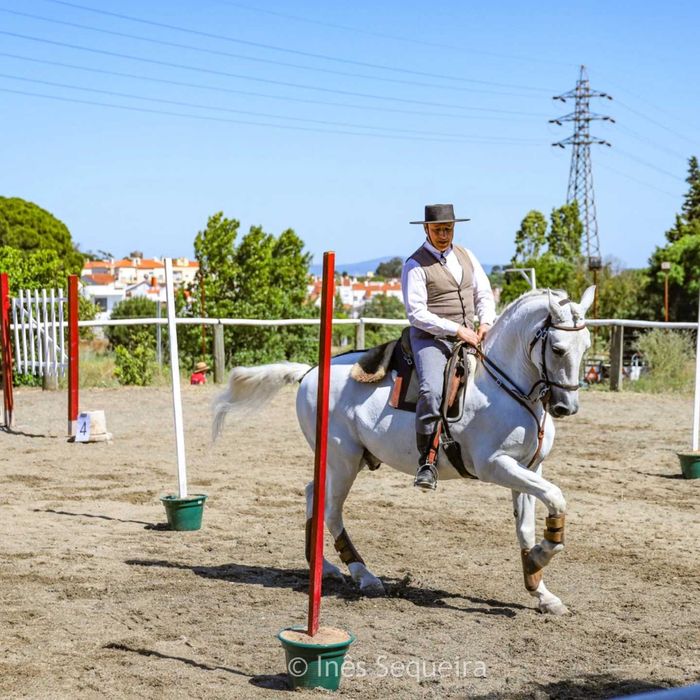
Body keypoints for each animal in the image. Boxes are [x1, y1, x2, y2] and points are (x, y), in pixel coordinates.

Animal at [213, 286, 595, 615]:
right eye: (557, 348)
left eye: (587, 346)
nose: (566, 407)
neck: (504, 387)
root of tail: (308, 373)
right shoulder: (495, 466)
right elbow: (557, 497)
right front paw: (541, 557)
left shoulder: (528, 468)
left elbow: (527, 526)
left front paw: (540, 589)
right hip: (342, 459)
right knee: (332, 511)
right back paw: (364, 575)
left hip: (343, 461)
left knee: (312, 496)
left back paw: (324, 566)